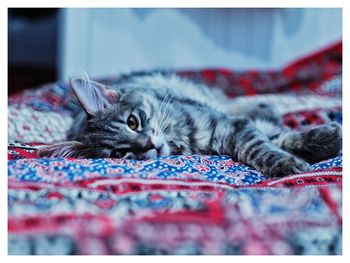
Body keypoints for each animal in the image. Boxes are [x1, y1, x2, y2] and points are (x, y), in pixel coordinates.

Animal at [38, 72, 342, 177]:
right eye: (118, 154)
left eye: (133, 122)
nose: (148, 144)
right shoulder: (235, 131)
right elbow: (267, 145)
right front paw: (289, 163)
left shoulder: (230, 125)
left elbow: (273, 141)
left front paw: (326, 139)